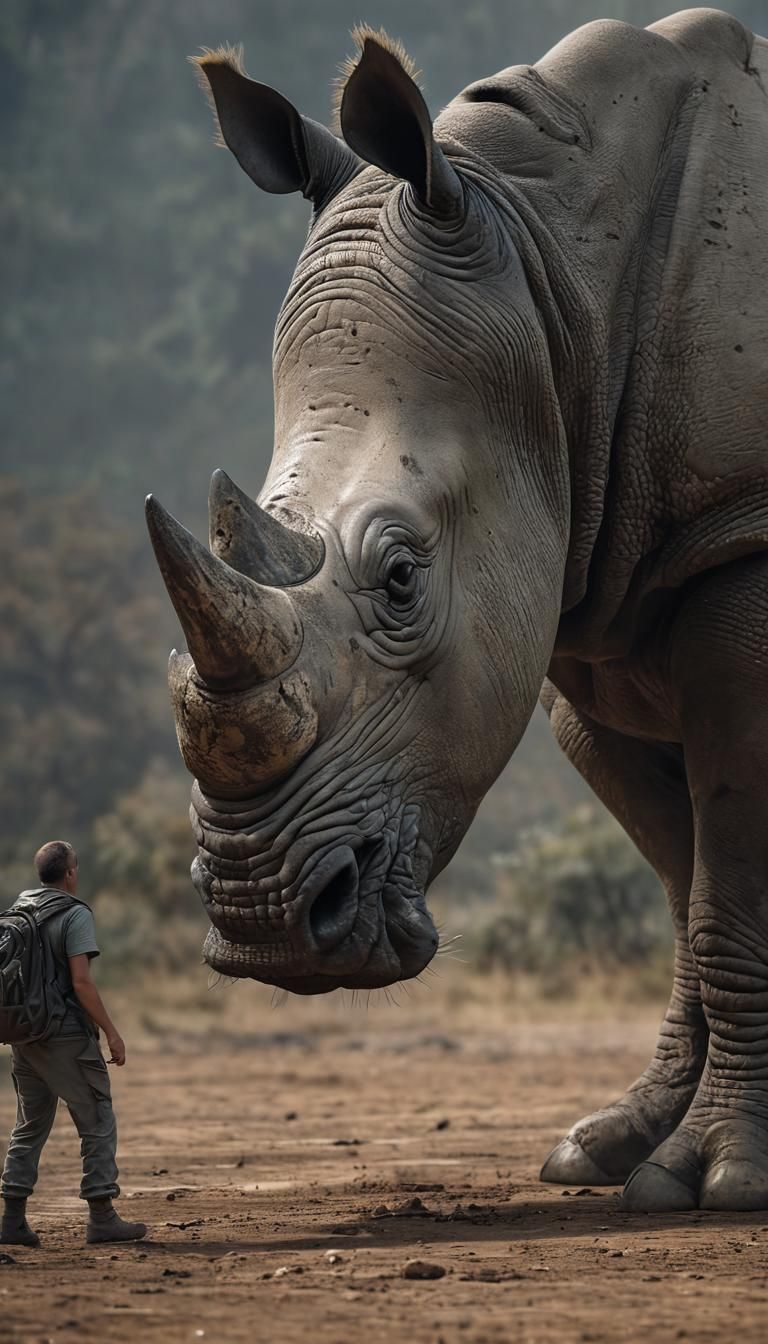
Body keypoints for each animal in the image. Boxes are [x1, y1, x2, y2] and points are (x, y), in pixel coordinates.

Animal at [146, 10, 768, 1213]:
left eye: (400, 578)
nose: (263, 921)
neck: (549, 273)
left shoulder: (741, 532)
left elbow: (729, 884)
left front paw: (721, 1177)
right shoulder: (582, 597)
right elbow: (685, 879)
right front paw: (611, 1153)